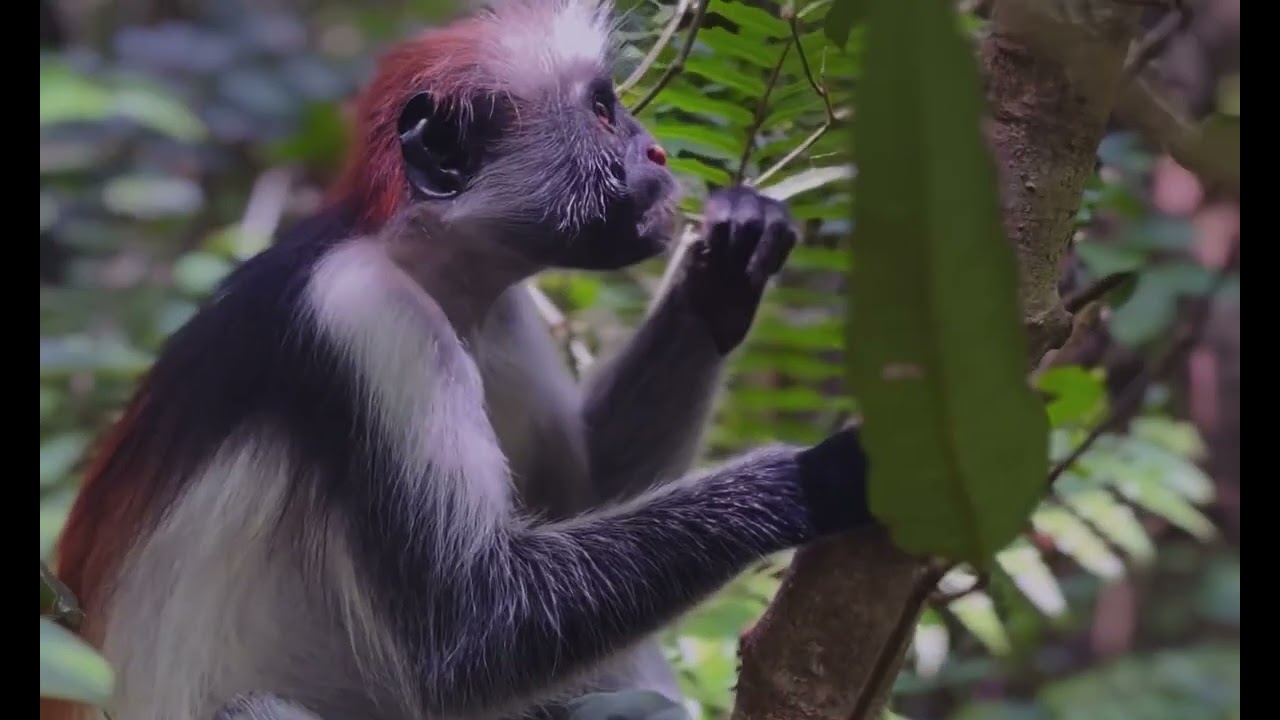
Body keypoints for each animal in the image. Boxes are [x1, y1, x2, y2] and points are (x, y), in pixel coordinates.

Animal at [45, 1, 881, 719]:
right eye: (602, 112)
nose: (656, 151)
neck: (415, 258)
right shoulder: (366, 317)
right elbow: (473, 638)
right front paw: (819, 476)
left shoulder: (502, 312)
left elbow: (580, 492)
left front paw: (723, 275)